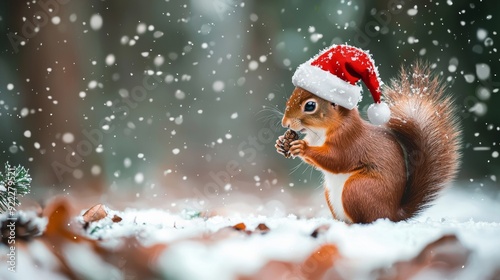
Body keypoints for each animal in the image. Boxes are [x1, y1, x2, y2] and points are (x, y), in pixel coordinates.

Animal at [276, 44, 458, 223]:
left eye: (310, 106)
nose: (285, 123)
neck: (320, 132)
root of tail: (393, 214)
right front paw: (282, 143)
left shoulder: (349, 140)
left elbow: (337, 159)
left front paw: (302, 147)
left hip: (357, 189)